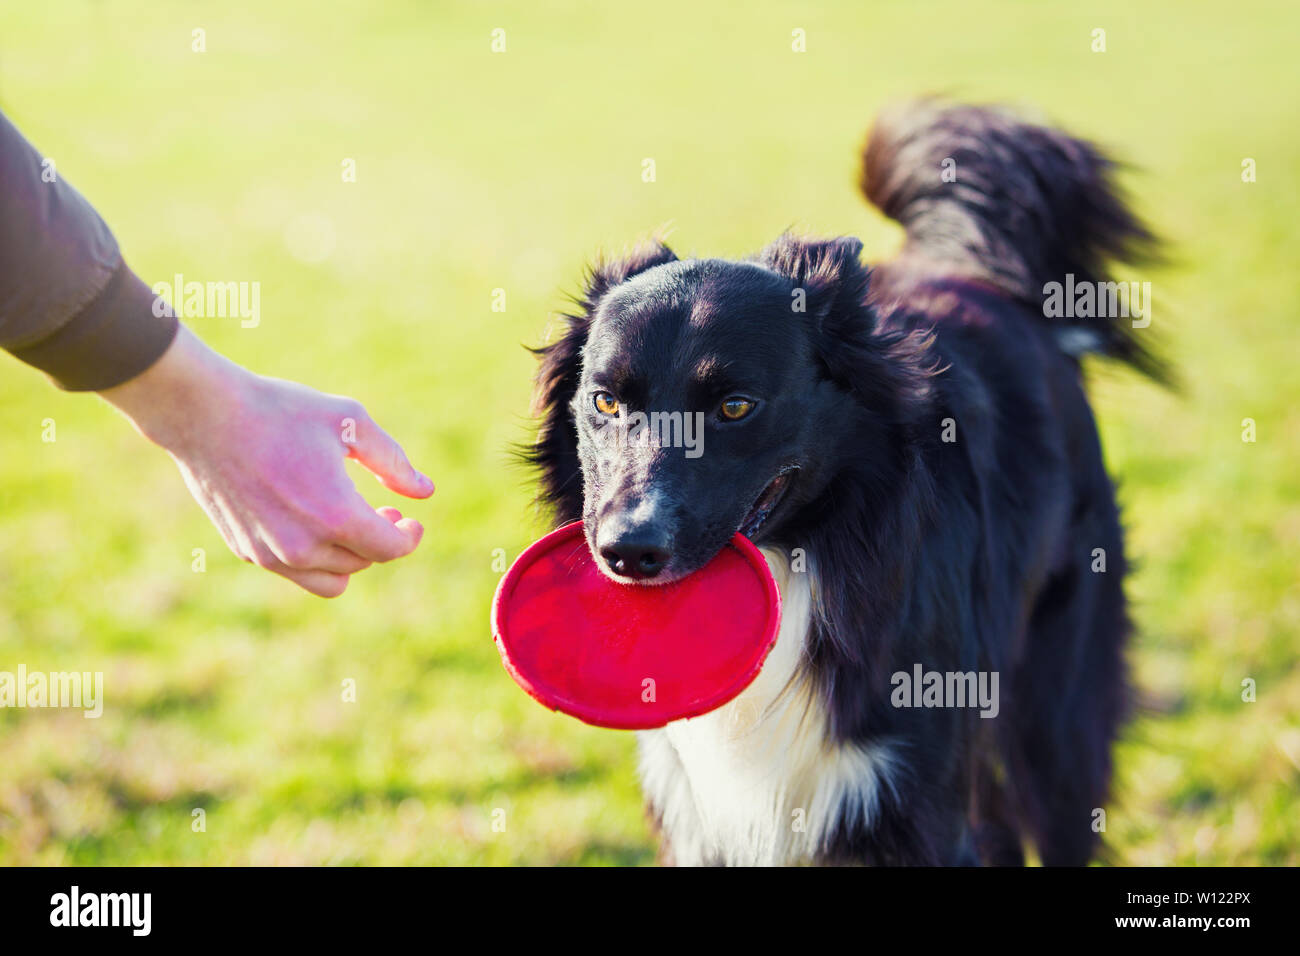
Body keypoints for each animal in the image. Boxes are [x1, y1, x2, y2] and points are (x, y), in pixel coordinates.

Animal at [522, 102, 1164, 868]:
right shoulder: (700, 816)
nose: (627, 552)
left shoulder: (914, 797)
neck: (808, 557)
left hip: (1056, 714)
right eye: (606, 402)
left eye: (735, 407)